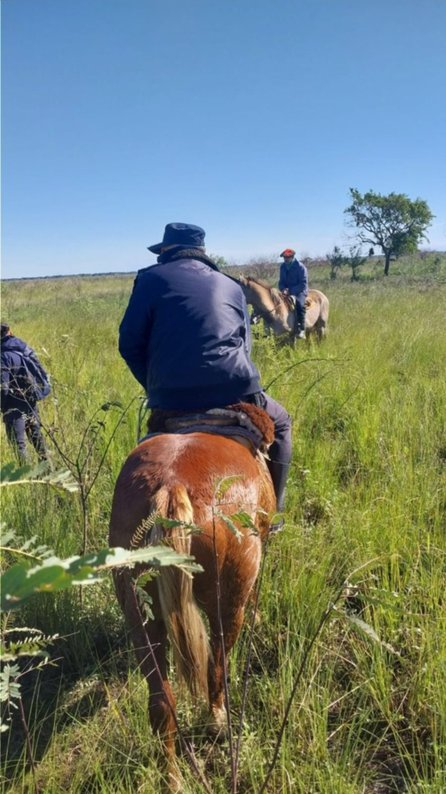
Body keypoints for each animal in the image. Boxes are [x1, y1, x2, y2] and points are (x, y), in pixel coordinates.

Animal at [109, 412, 275, 789]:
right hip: (227, 601)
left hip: (141, 616)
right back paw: (216, 720)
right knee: (217, 665)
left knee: (161, 702)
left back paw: (172, 778)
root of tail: (172, 485)